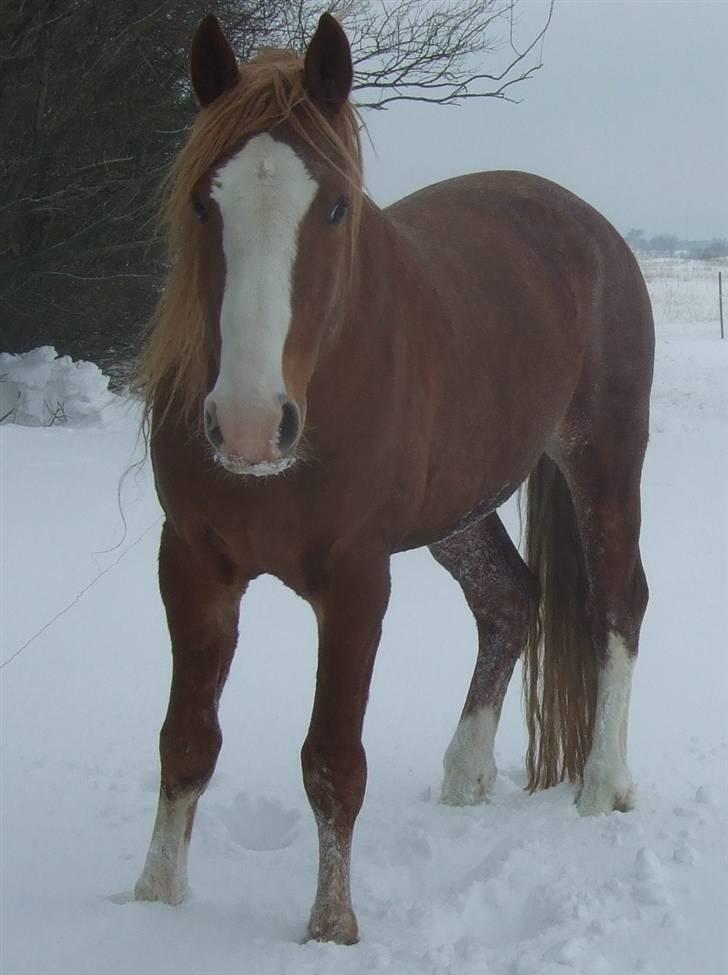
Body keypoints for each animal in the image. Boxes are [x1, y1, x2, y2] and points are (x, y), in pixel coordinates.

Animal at [134, 13, 656, 944]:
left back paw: (601, 788)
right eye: (203, 200)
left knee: (616, 605)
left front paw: (331, 927)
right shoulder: (192, 562)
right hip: (463, 506)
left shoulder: (354, 577)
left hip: (603, 461)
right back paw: (464, 777)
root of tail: (590, 227)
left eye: (335, 206)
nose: (249, 423)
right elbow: (186, 741)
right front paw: (153, 906)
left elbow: (332, 760)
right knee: (508, 598)